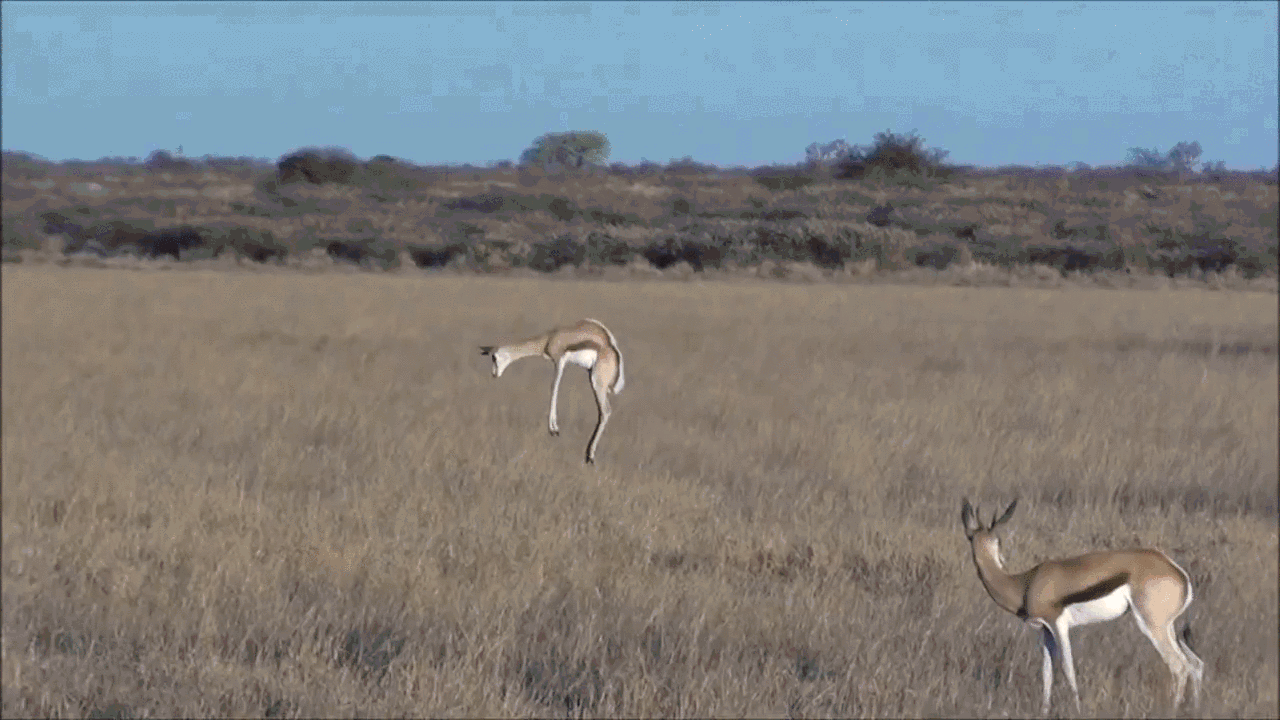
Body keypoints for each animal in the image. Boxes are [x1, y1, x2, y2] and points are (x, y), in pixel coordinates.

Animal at [479, 319, 624, 464]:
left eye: (494, 358)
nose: (494, 374)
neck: (549, 338)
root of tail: (612, 349)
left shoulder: (559, 361)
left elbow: (554, 387)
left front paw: (553, 429)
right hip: (592, 378)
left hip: (597, 384)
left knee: (606, 411)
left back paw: (590, 456)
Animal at [961, 499, 1204, 715]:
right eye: (971, 538)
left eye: (998, 541)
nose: (1001, 558)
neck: (1024, 583)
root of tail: (1178, 572)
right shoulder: (1044, 631)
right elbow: (1047, 673)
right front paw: (1044, 711)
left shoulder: (1058, 625)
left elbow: (1068, 668)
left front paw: (1076, 709)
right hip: (1168, 627)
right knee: (1196, 664)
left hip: (1152, 626)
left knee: (1179, 666)